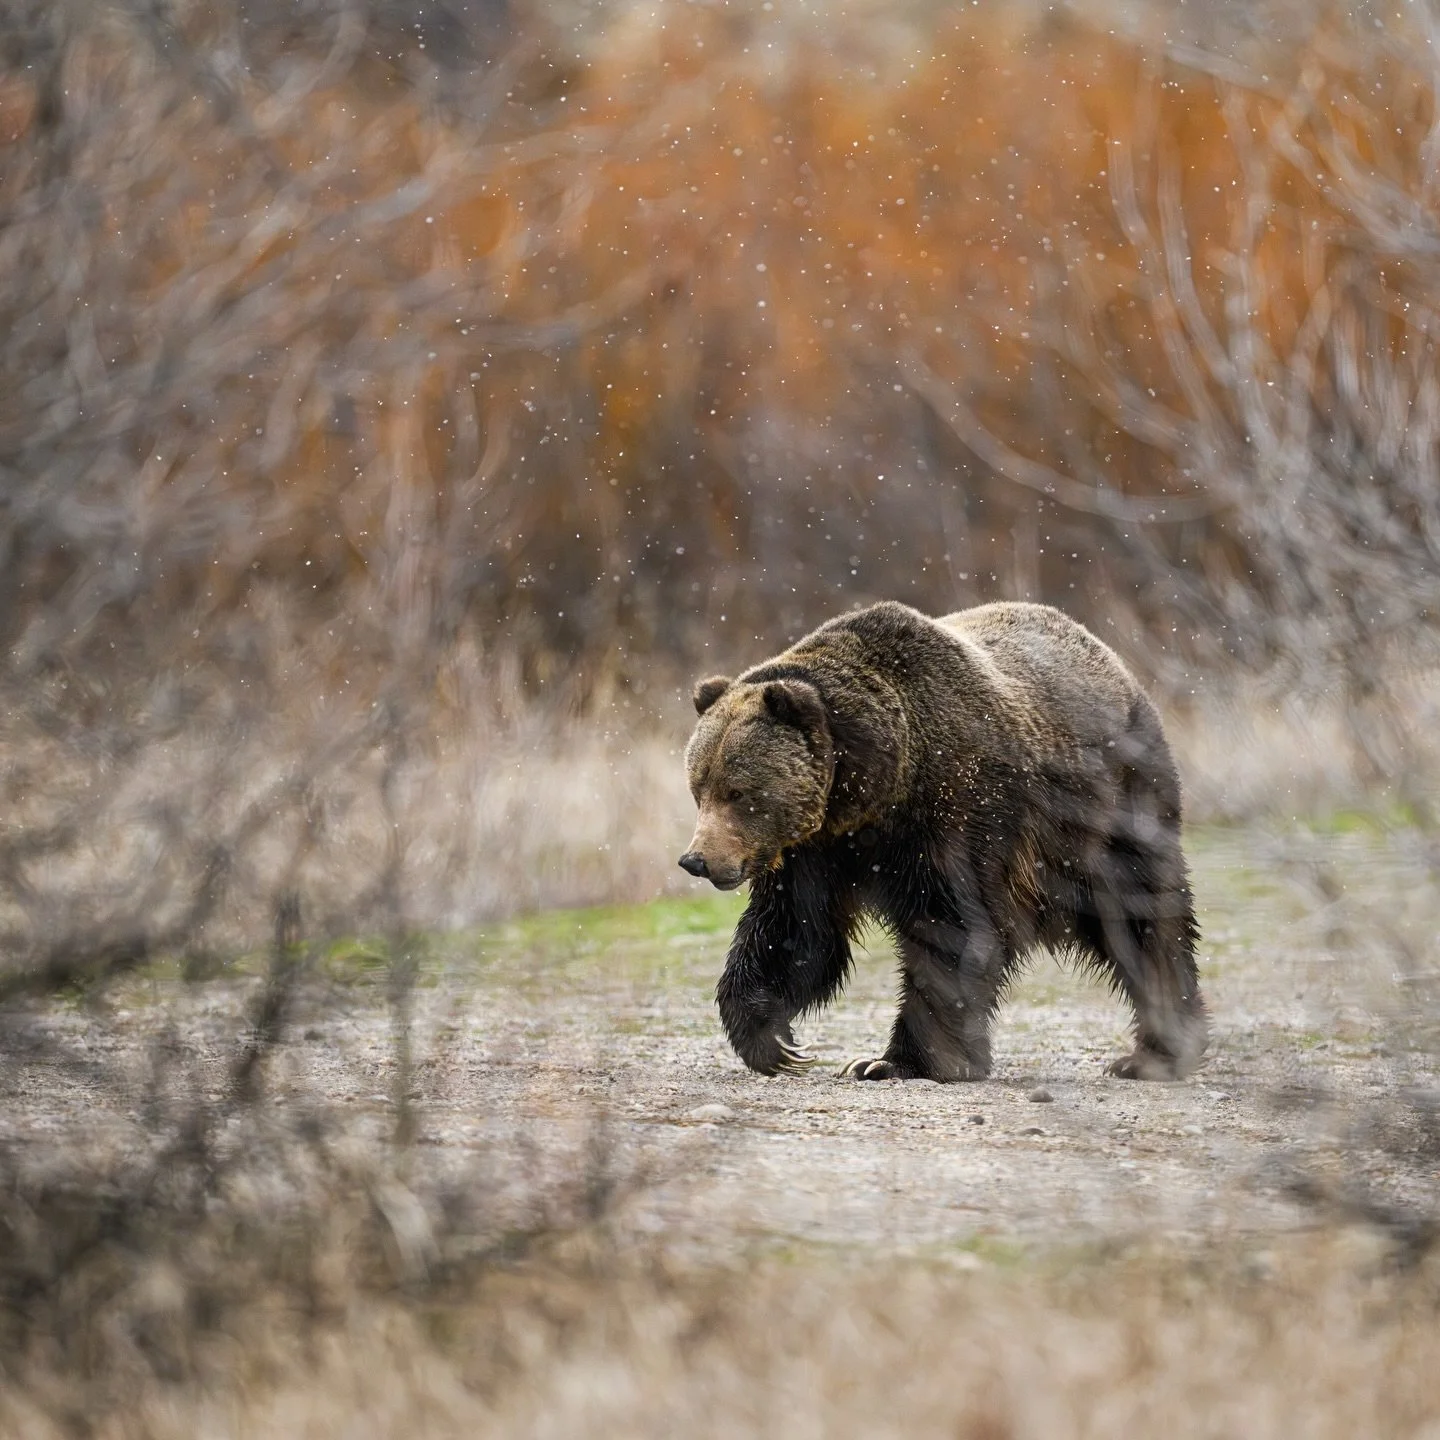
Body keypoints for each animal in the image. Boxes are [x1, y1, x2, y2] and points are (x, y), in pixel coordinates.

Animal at [678, 600, 1207, 1083]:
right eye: (698, 787)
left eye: (738, 792)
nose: (696, 860)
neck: (875, 790)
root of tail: (1114, 662)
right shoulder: (813, 851)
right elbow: (794, 932)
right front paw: (773, 1041)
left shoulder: (955, 813)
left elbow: (951, 929)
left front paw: (895, 1062)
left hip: (1112, 808)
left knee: (1143, 917)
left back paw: (1155, 1053)